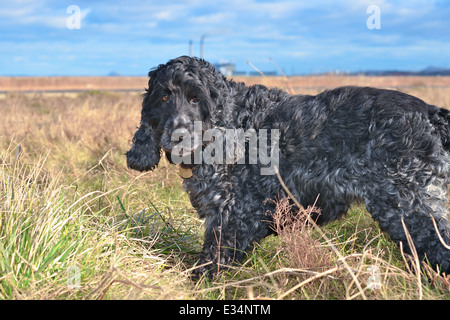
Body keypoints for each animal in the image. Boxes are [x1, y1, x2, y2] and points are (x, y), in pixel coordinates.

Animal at [127, 56, 450, 276]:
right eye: (164, 97)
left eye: (196, 99)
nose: (177, 135)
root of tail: (431, 114)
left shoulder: (232, 214)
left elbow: (214, 257)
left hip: (409, 206)